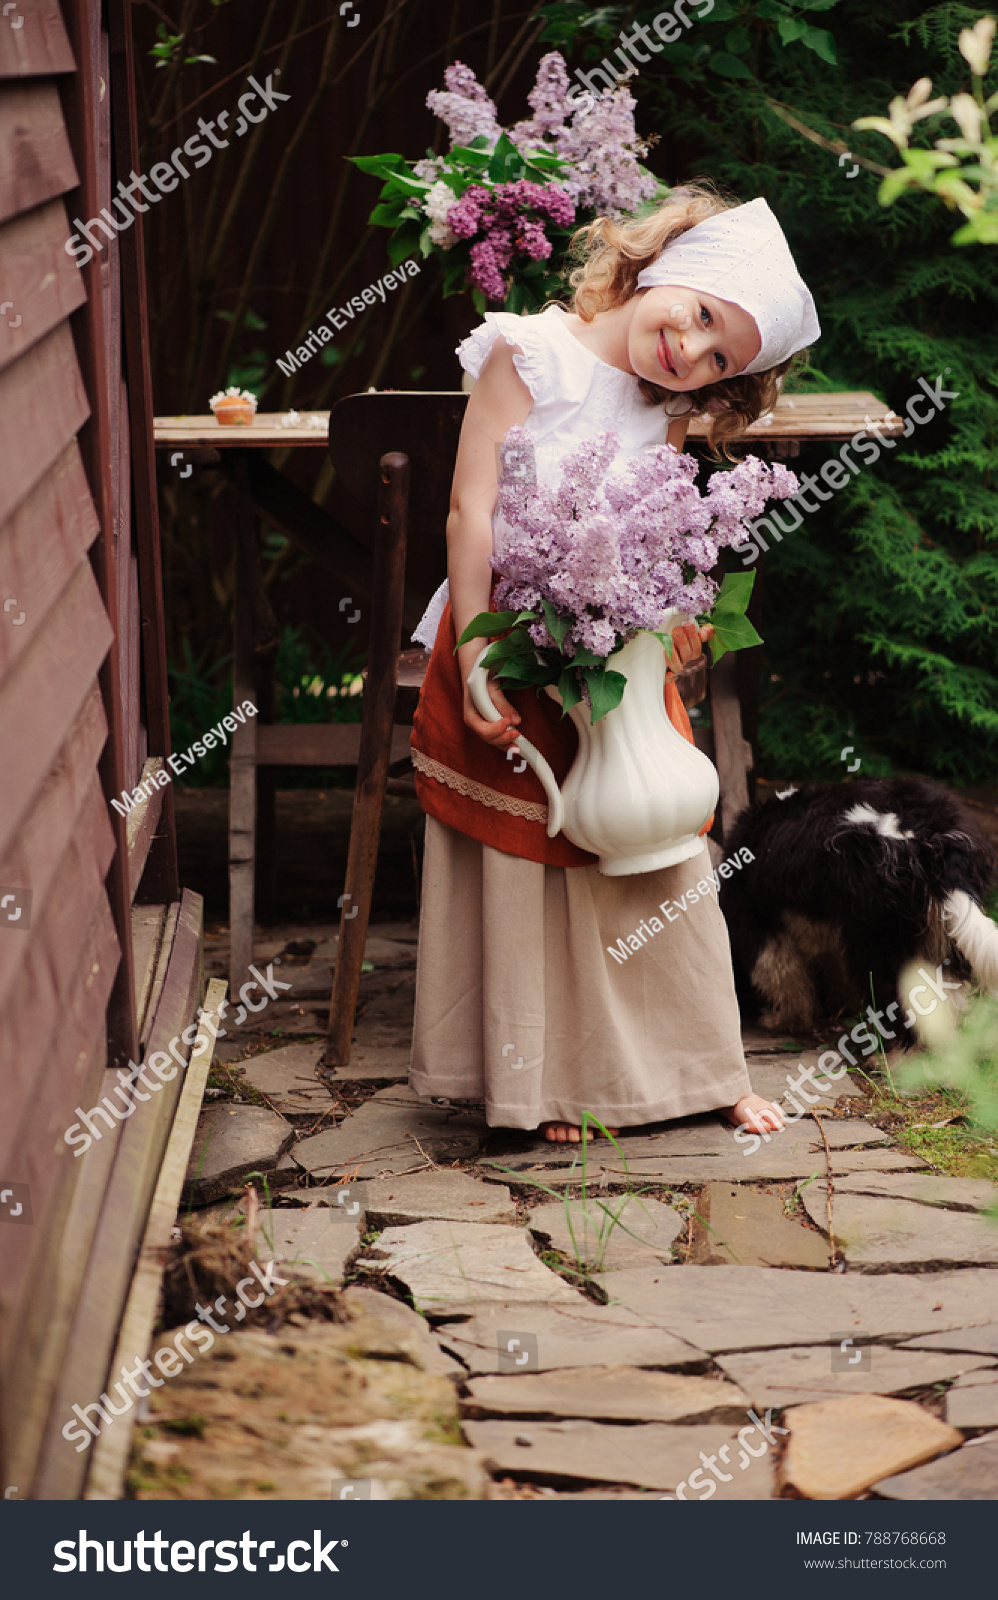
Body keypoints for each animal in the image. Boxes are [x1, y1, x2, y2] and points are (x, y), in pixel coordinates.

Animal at [716, 780, 997, 1043]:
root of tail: (931, 844)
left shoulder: (757, 924)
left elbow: (782, 974)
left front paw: (784, 1020)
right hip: (931, 932)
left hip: (878, 936)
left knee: (894, 996)